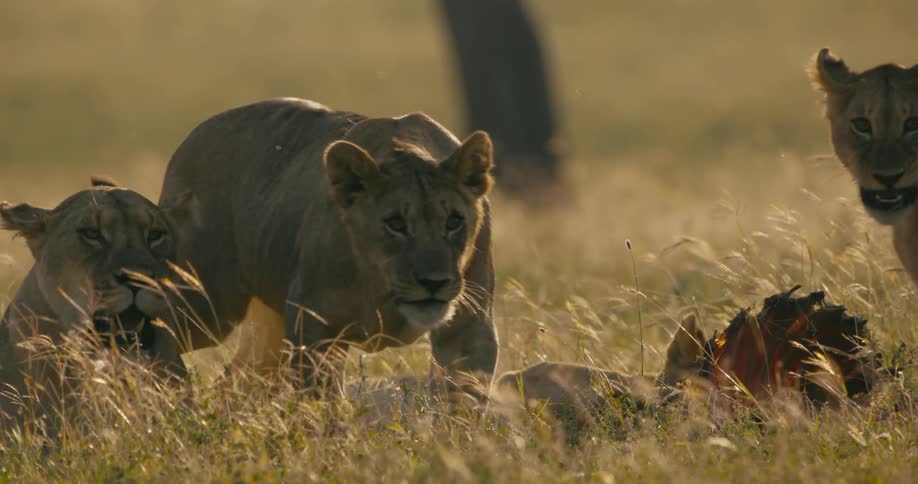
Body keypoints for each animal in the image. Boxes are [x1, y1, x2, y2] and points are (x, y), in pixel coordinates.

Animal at [158, 98, 497, 400]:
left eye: (453, 222)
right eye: (395, 224)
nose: (434, 282)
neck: (382, 290)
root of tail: (192, 137)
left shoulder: (467, 327)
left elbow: (461, 402)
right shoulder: (314, 327)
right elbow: (322, 406)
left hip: (268, 327)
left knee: (233, 382)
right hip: (207, 304)